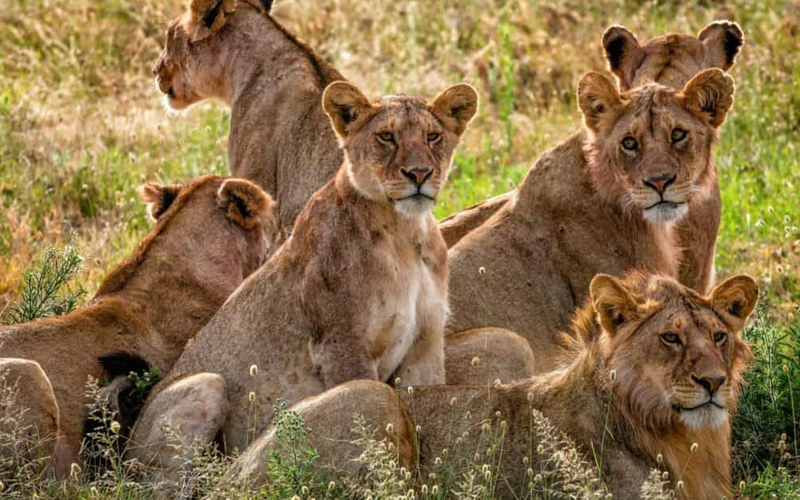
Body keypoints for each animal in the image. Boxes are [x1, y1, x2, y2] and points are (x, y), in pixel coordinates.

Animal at [125, 79, 476, 472]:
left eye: (433, 136)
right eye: (386, 136)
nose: (419, 173)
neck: (405, 233)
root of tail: (126, 445)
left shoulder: (424, 344)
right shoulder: (340, 343)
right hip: (206, 384)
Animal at [236, 274, 756, 500]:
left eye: (718, 337)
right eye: (670, 338)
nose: (713, 381)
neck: (685, 439)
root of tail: (235, 470)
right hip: (375, 397)